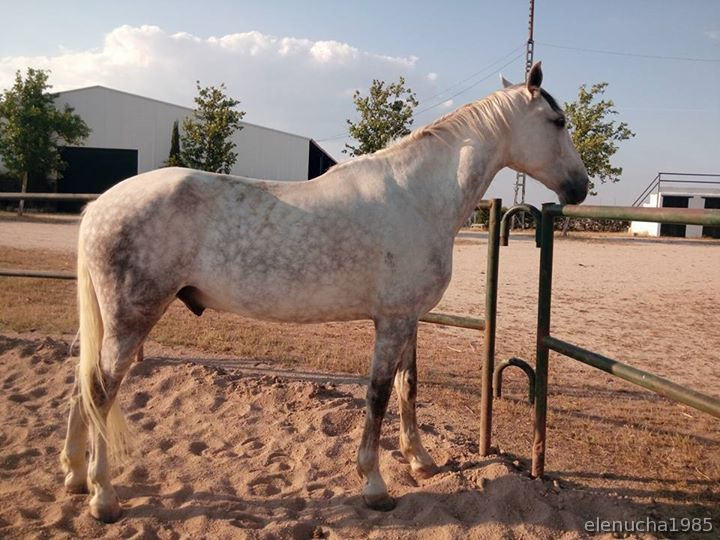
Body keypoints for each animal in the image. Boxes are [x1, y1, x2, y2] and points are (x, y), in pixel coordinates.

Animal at [60, 62, 588, 522]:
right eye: (557, 121)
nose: (581, 187)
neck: (416, 197)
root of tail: (100, 206)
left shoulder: (409, 319)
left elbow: (408, 387)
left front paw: (420, 461)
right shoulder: (391, 322)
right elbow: (378, 395)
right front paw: (374, 485)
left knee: (83, 387)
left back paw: (75, 476)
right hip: (130, 321)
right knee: (100, 391)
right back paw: (103, 497)